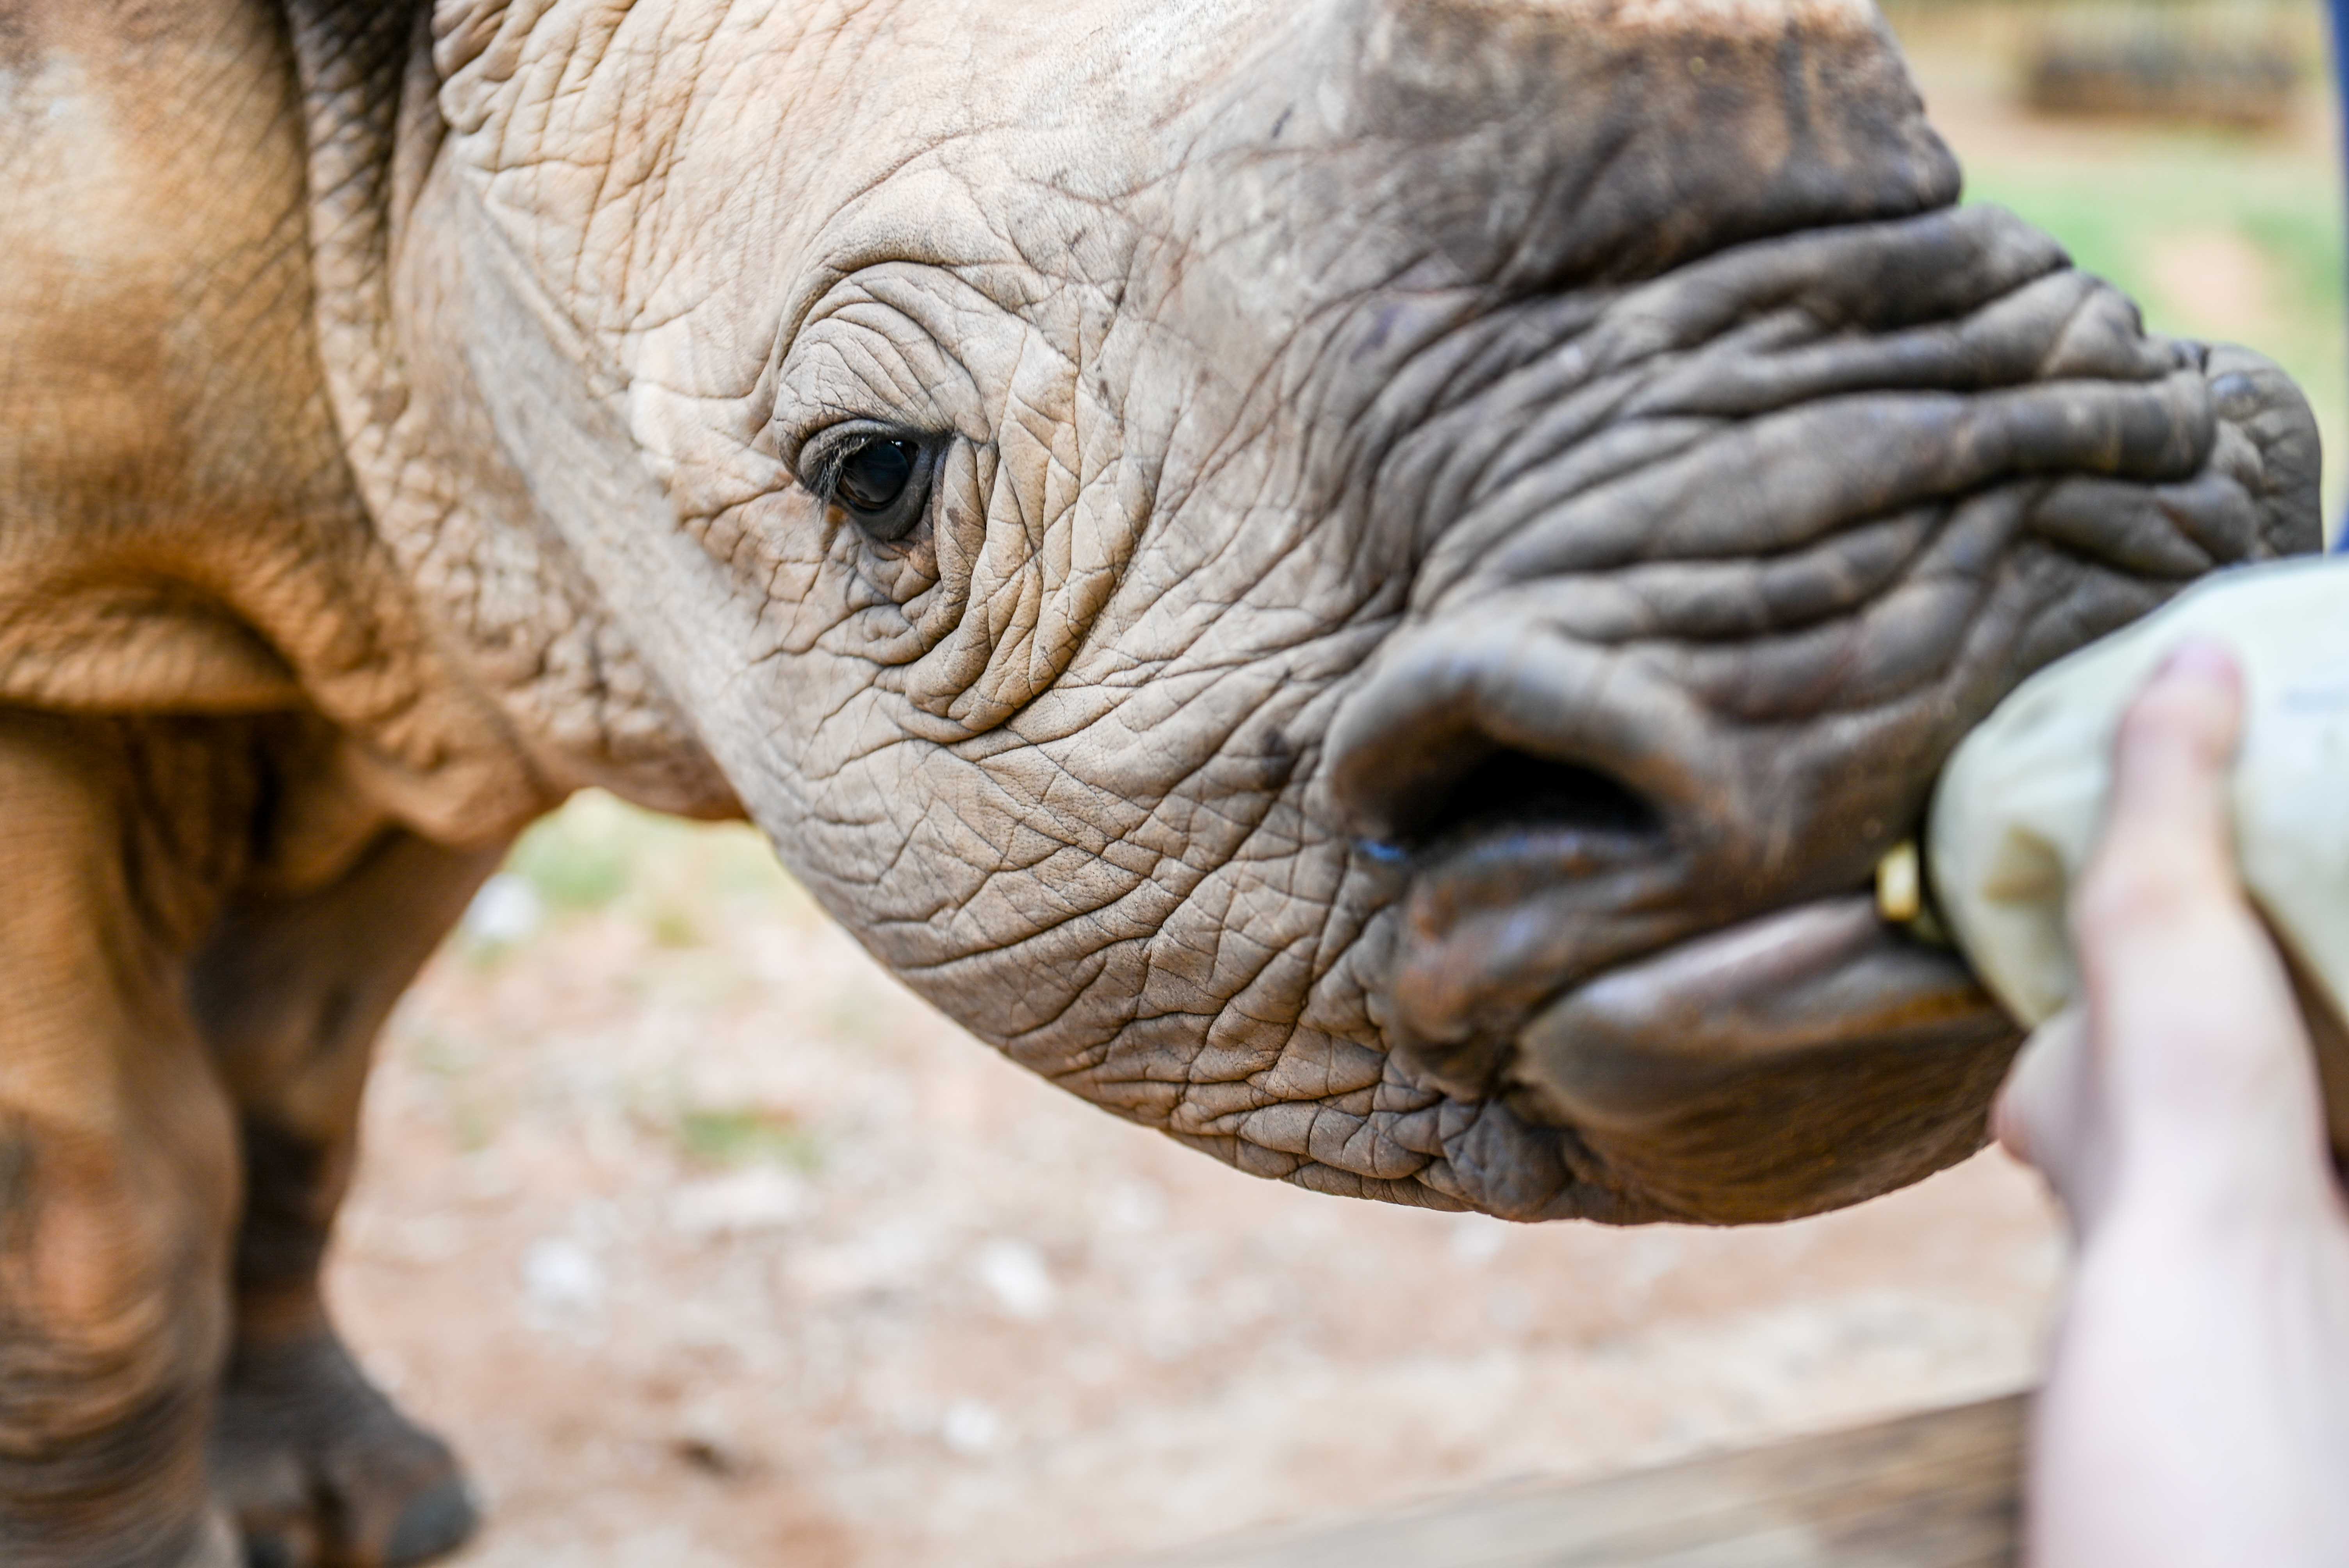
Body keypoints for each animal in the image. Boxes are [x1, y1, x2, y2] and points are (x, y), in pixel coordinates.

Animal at [0, 0, 2317, 1562]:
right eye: (878, 472)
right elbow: (90, 1189)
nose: (1971, 613)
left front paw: (361, 1507)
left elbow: (298, 1079)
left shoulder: (467, 613)